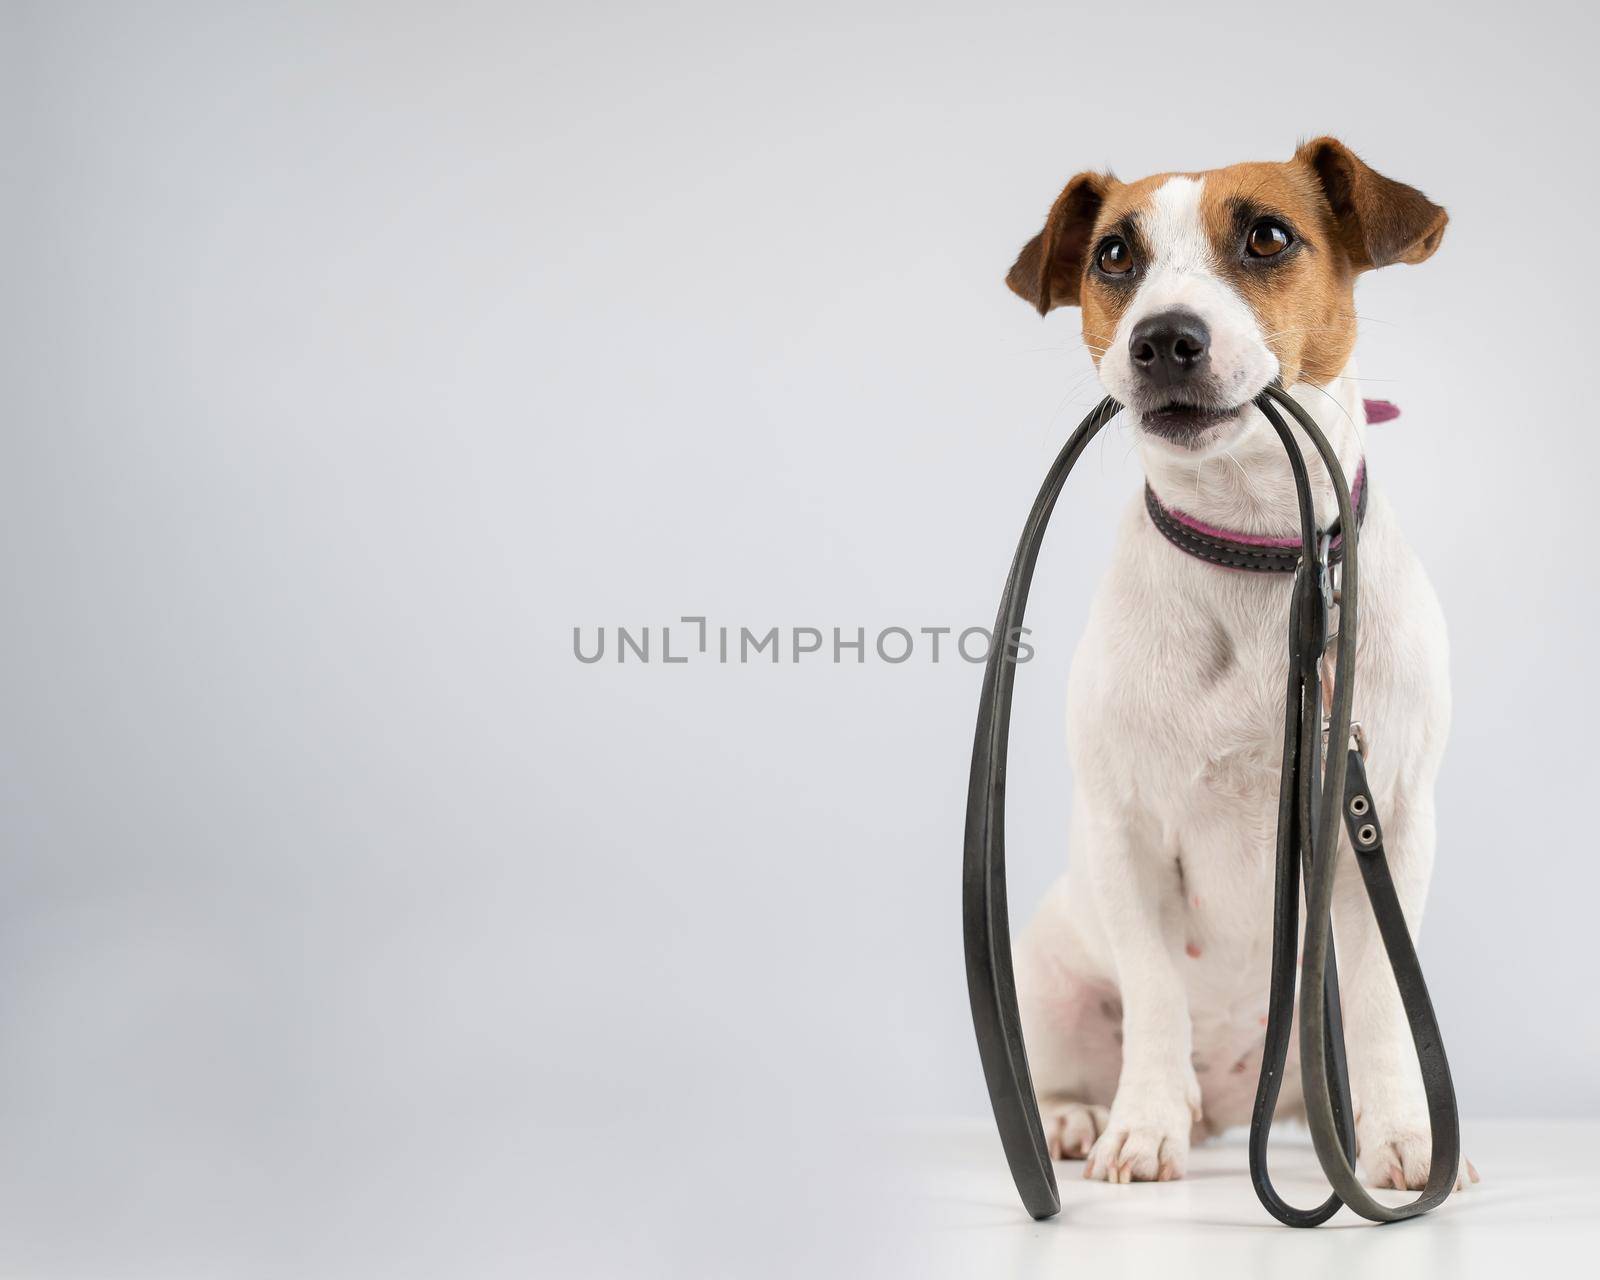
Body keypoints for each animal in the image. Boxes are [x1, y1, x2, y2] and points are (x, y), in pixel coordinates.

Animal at [1004, 140, 1478, 1190]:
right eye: (1113, 255)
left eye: (1268, 236)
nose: (1163, 339)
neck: (1260, 550)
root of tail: (1234, 1102)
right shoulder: (1125, 832)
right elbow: (1154, 993)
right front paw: (1142, 1127)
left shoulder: (1392, 820)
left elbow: (1383, 1004)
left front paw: (1405, 1135)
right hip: (1045, 976)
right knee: (1072, 1061)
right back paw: (1079, 1117)